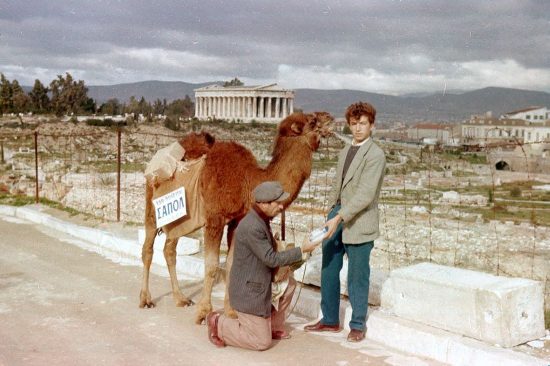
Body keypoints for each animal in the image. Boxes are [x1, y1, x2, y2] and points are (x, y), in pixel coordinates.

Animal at [140, 111, 334, 324]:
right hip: (152, 205)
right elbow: (212, 266)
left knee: (169, 249)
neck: (248, 182)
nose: (330, 118)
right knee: (148, 248)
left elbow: (232, 265)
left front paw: (231, 311)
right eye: (312, 121)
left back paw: (180, 299)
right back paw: (146, 299)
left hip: (180, 219)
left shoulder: (236, 221)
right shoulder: (215, 218)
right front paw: (203, 313)